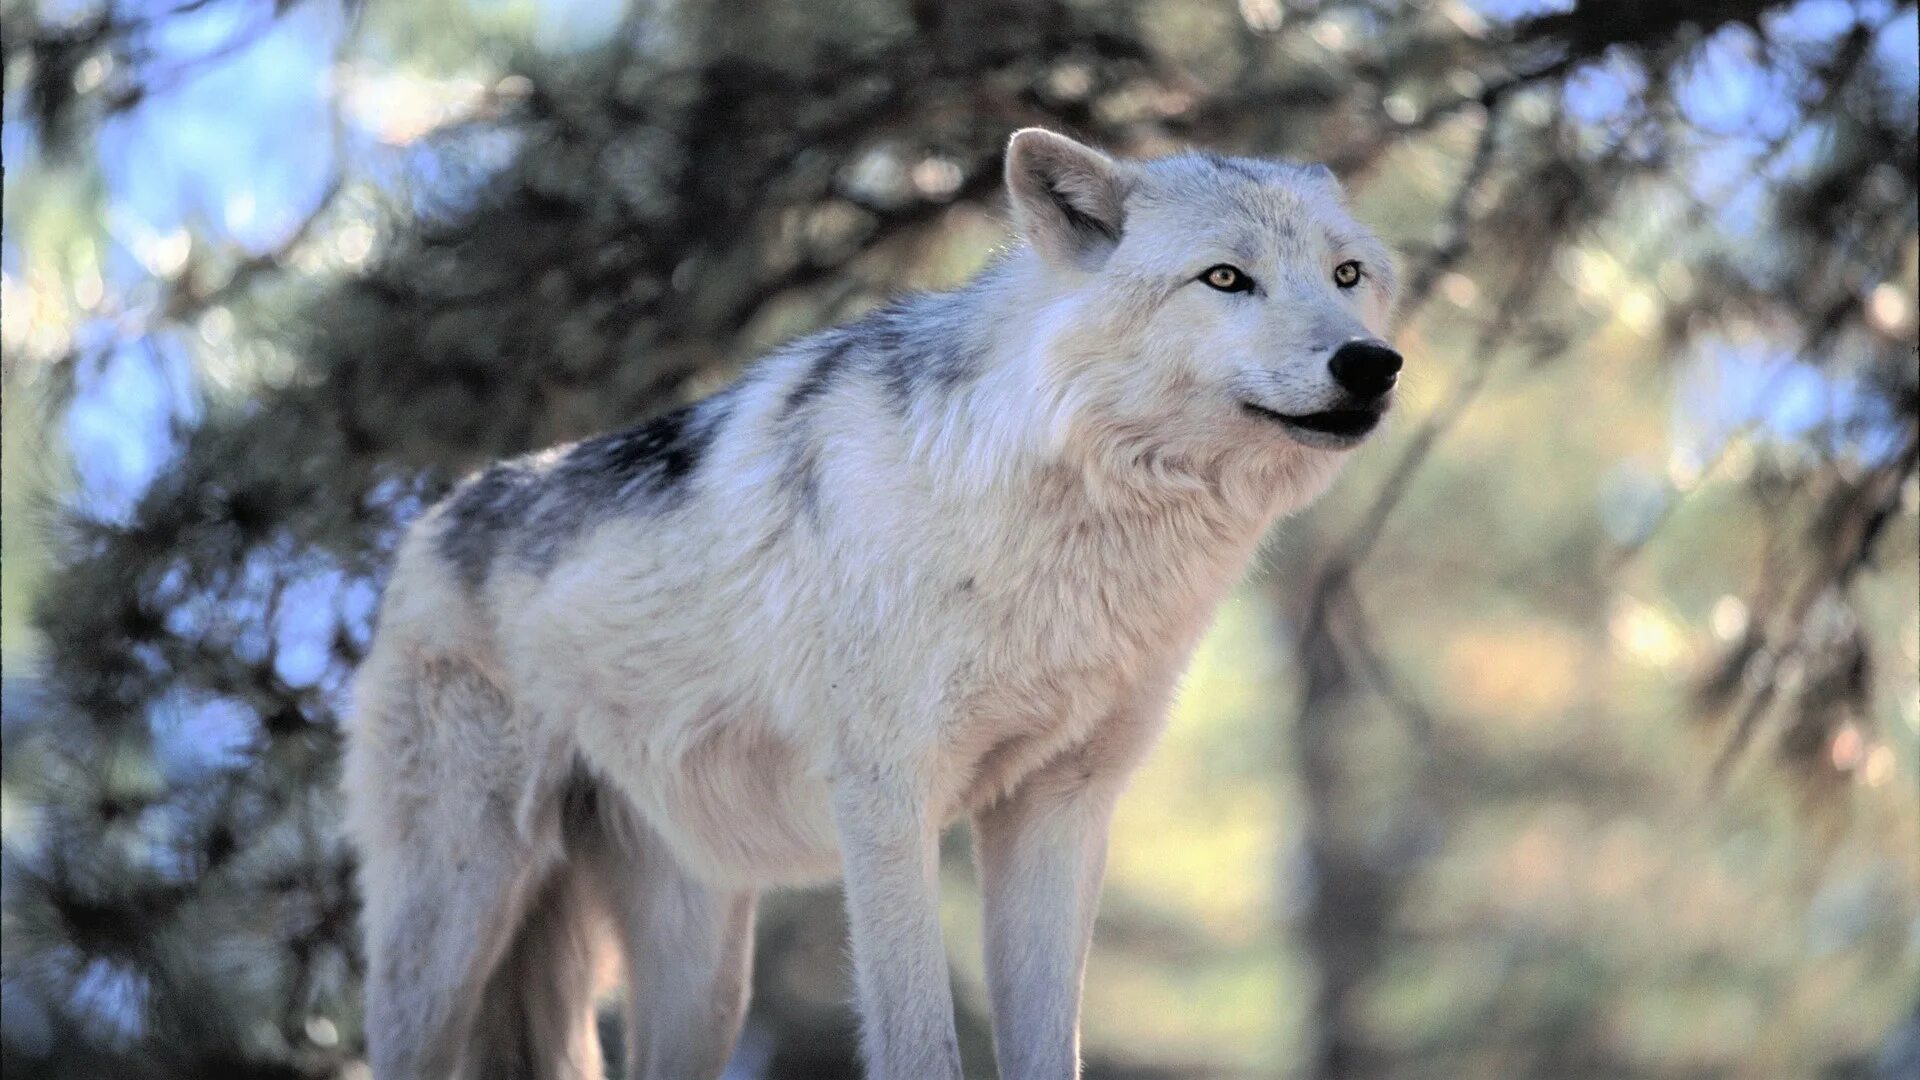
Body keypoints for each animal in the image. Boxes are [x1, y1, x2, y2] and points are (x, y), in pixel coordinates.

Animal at [341, 127, 1397, 1076]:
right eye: (1225, 279)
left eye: (1346, 275)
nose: (1371, 363)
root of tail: (427, 524)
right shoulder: (887, 800)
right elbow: (920, 1039)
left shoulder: (1059, 810)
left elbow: (1050, 1046)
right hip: (452, 926)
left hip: (702, 973)